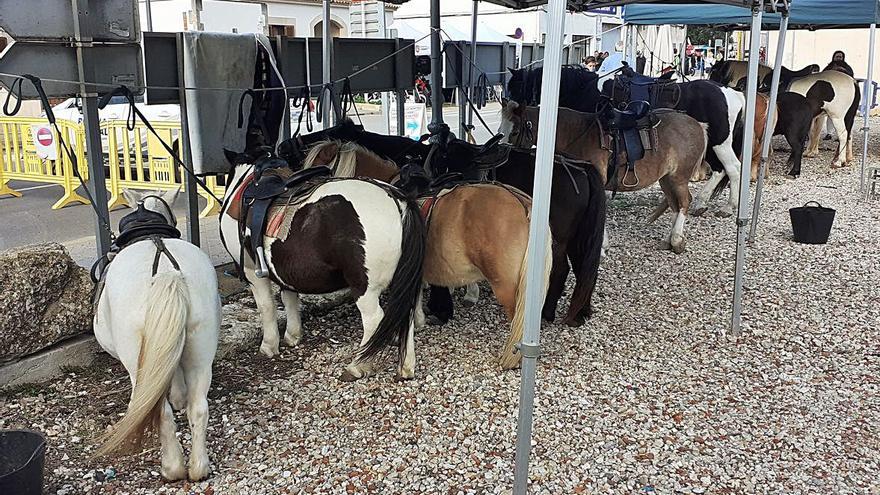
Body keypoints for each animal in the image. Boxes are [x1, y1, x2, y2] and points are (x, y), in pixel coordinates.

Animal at [93, 188, 220, 482]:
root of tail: (166, 274)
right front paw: (180, 397)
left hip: (136, 359)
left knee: (161, 413)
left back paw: (172, 468)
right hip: (201, 349)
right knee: (199, 407)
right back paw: (199, 467)